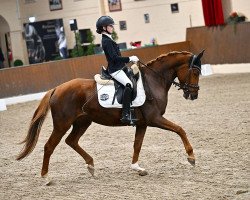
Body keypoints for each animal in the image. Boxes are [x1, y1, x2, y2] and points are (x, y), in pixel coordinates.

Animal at [16, 50, 204, 178]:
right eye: (195, 72)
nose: (194, 95)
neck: (153, 81)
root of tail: (56, 89)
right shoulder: (154, 119)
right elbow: (180, 129)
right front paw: (191, 157)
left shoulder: (142, 123)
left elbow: (137, 144)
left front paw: (137, 167)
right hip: (62, 124)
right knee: (49, 146)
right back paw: (46, 177)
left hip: (82, 122)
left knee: (71, 141)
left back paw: (91, 165)